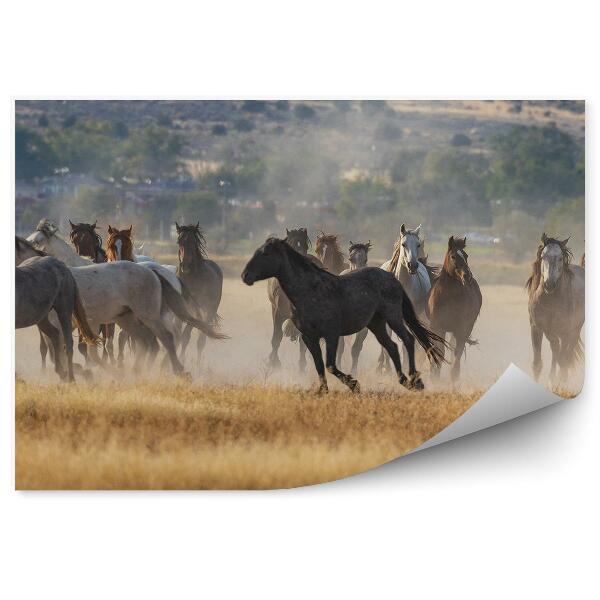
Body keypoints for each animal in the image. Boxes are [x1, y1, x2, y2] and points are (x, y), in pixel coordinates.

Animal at [426, 237, 482, 382]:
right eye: (453, 256)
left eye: (466, 256)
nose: (467, 276)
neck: (449, 297)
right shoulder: (437, 327)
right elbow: (439, 352)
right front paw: (434, 377)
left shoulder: (460, 329)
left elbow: (457, 355)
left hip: (465, 329)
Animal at [528, 232, 584, 382]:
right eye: (543, 256)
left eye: (560, 258)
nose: (549, 284)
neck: (550, 302)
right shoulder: (536, 328)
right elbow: (537, 364)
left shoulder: (565, 332)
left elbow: (563, 360)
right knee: (556, 352)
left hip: (574, 332)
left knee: (565, 356)